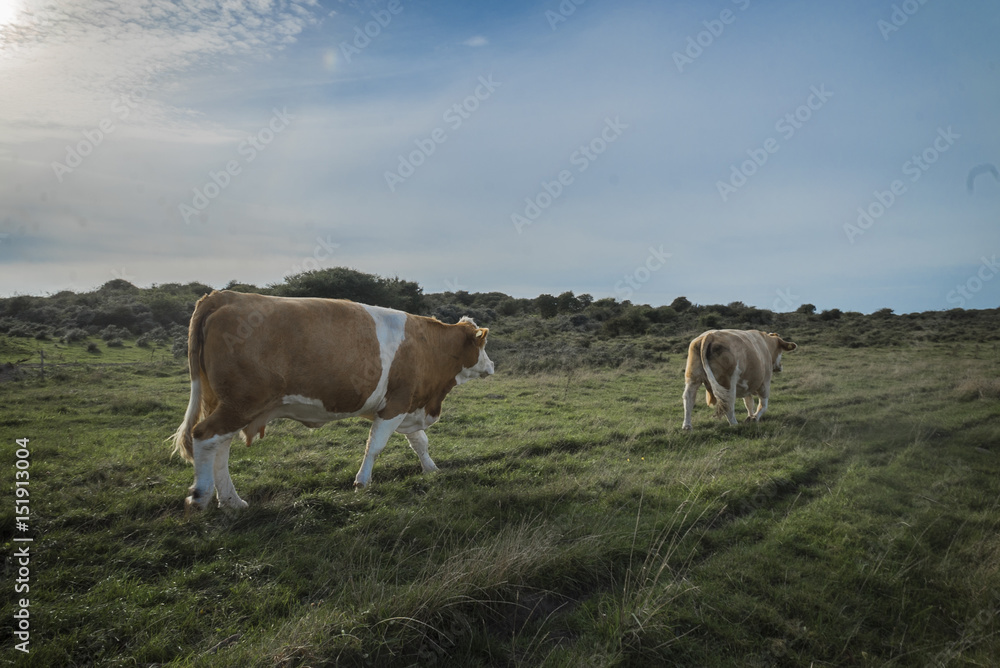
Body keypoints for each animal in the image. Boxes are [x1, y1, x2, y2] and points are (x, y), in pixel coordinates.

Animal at [170, 290, 494, 512]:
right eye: (482, 345)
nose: (491, 365)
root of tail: (225, 295)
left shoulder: (406, 404)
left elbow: (419, 443)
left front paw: (431, 470)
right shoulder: (397, 404)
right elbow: (375, 446)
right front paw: (362, 482)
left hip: (232, 404)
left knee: (219, 447)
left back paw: (232, 501)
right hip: (241, 403)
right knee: (204, 435)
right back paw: (201, 496)